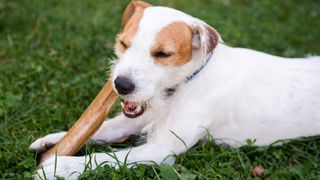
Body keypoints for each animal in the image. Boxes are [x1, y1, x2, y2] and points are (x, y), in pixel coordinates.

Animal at [30, 1, 320, 179]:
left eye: (163, 54)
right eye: (123, 44)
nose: (121, 85)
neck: (184, 85)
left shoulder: (160, 149)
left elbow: (104, 158)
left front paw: (59, 165)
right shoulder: (134, 120)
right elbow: (100, 128)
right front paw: (53, 140)